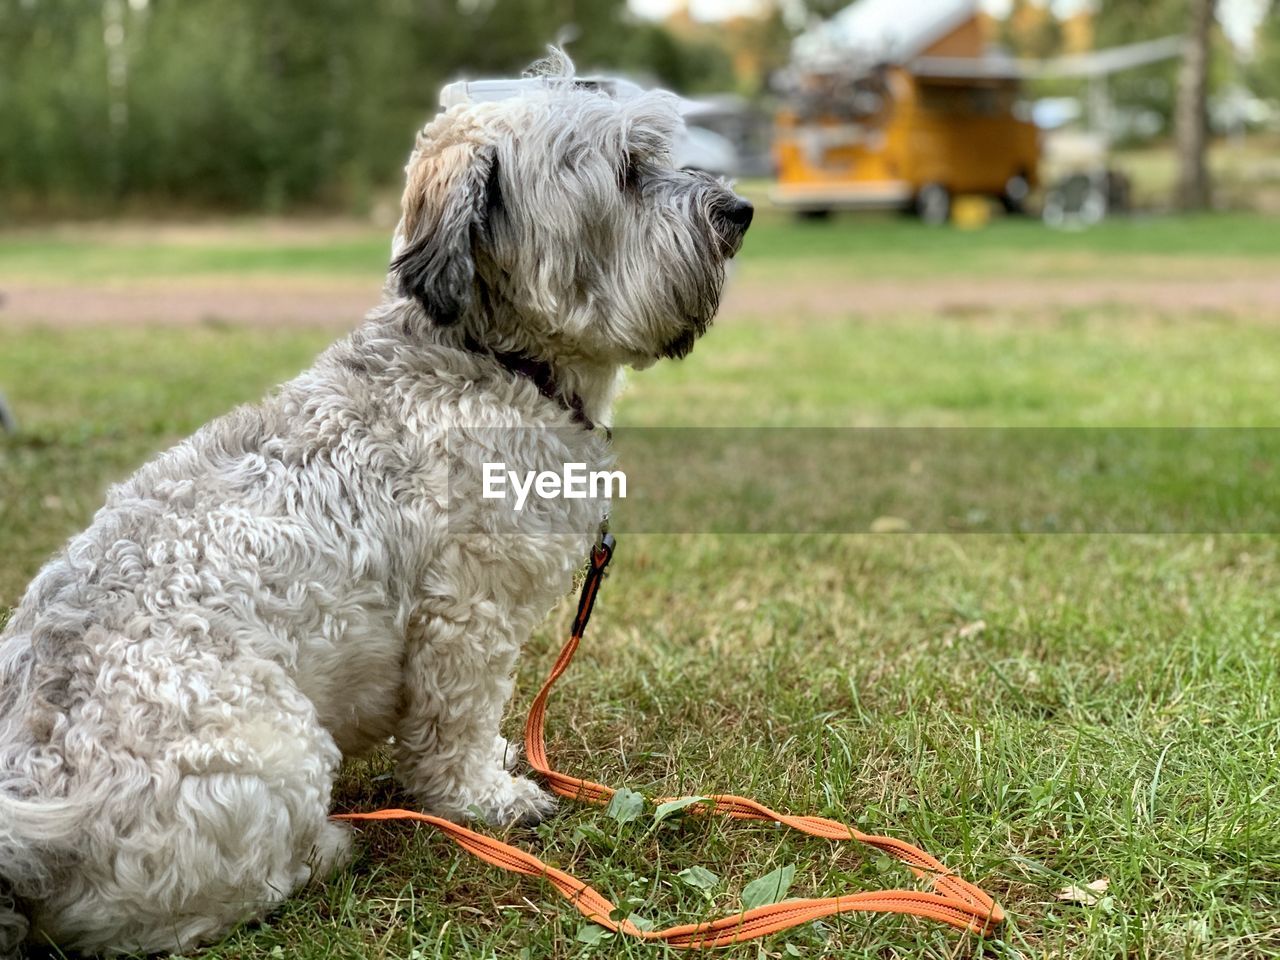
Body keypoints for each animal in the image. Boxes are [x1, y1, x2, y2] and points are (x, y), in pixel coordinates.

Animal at [0, 50, 747, 957]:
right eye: (631, 171)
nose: (740, 211)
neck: (491, 358)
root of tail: (35, 802)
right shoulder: (467, 614)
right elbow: (456, 725)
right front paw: (485, 798)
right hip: (274, 755)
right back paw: (325, 849)